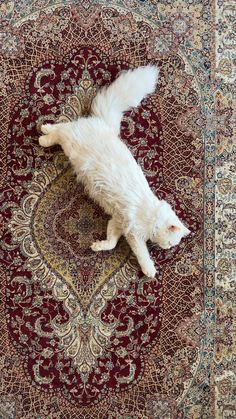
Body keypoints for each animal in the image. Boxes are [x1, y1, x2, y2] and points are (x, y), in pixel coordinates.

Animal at [38, 66, 190, 278]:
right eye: (170, 242)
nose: (167, 248)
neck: (153, 216)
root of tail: (104, 124)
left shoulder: (118, 222)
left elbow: (111, 242)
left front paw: (98, 246)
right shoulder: (134, 233)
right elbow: (142, 254)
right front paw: (150, 270)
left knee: (63, 127)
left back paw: (45, 130)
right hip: (71, 143)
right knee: (62, 127)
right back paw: (44, 133)